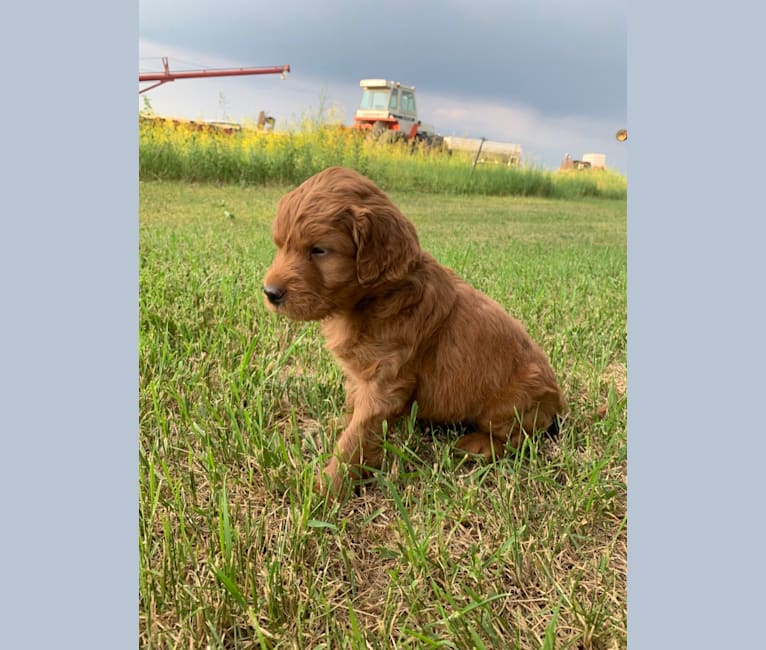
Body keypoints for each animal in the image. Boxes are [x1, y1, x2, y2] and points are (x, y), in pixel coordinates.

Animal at [262, 166, 564, 492]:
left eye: (318, 250)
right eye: (279, 245)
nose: (270, 292)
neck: (373, 298)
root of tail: (558, 404)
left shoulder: (386, 382)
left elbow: (355, 439)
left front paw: (327, 487)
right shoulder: (361, 375)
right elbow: (352, 410)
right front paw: (334, 425)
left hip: (512, 402)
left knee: (521, 438)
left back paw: (478, 446)